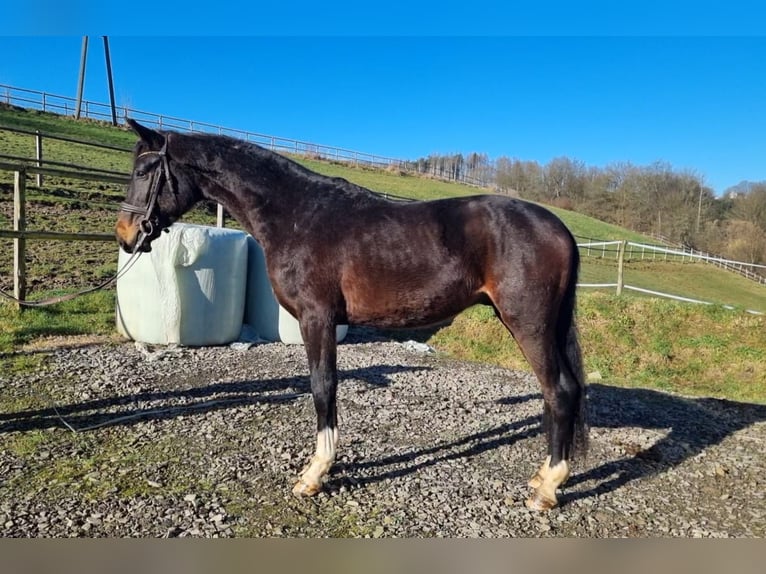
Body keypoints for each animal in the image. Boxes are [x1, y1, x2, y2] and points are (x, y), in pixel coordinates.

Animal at [117, 118, 592, 512]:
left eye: (142, 172)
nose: (125, 235)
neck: (297, 214)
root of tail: (559, 229)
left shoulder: (317, 319)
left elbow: (323, 387)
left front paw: (315, 474)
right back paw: (543, 477)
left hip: (529, 324)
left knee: (560, 391)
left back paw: (548, 489)